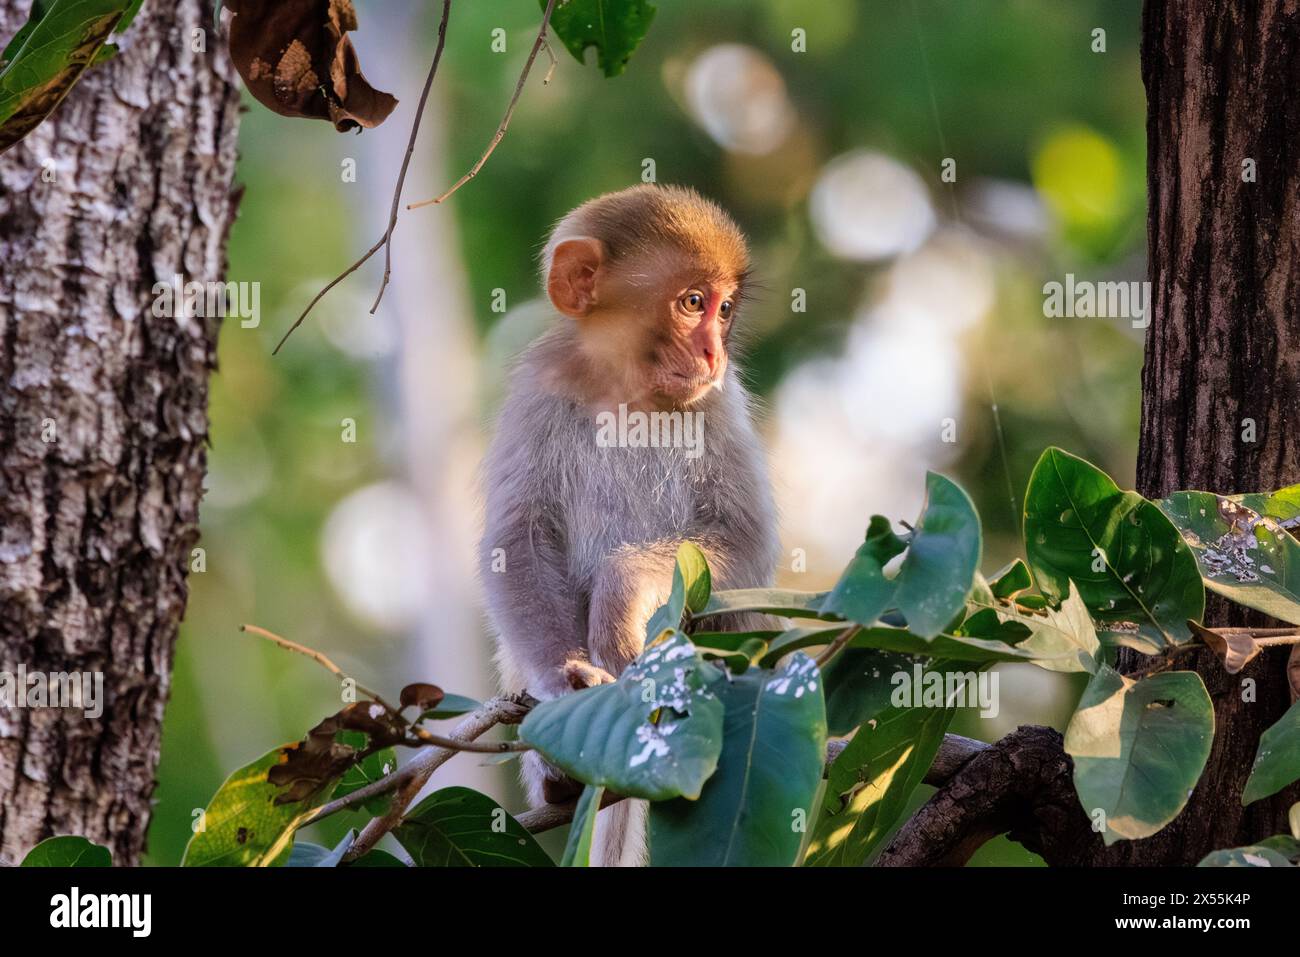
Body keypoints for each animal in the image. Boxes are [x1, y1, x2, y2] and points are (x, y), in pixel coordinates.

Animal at [480, 184, 780, 866]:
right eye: (693, 303)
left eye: (725, 309)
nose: (714, 351)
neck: (628, 392)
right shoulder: (540, 387)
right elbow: (518, 541)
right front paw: (564, 676)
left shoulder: (719, 402)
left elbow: (746, 544)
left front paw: (621, 595)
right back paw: (559, 779)